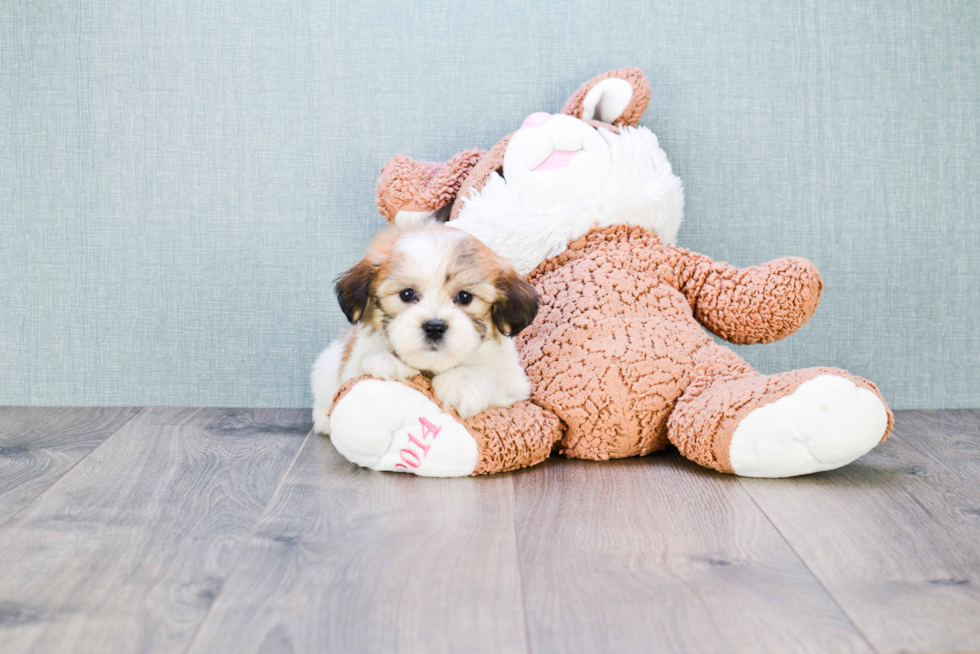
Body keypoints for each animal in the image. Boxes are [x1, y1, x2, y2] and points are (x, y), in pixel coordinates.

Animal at [312, 226, 536, 436]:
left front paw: (462, 383)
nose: (434, 327)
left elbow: (497, 381)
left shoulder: (517, 386)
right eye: (407, 294)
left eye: (465, 297)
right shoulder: (350, 369)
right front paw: (386, 361)